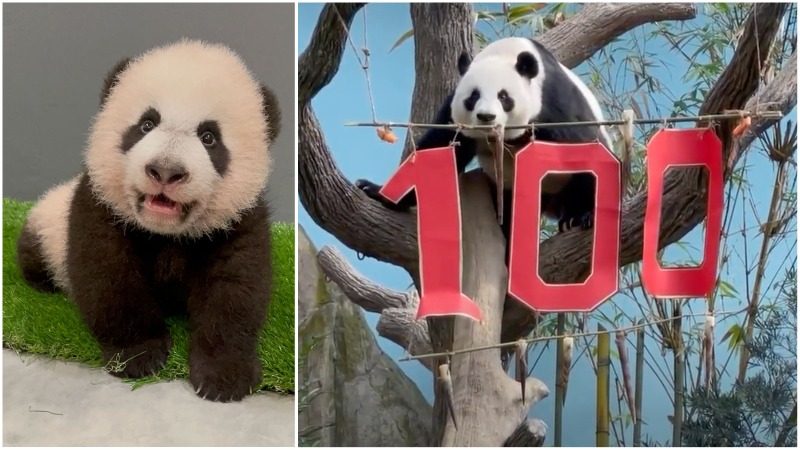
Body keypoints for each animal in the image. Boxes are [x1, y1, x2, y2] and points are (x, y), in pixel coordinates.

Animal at [13, 38, 284, 402]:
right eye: (146, 124)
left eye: (209, 137)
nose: (165, 171)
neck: (165, 232)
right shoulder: (98, 204)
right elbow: (108, 276)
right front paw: (139, 355)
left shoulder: (238, 221)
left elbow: (234, 288)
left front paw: (225, 376)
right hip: (46, 224)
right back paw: (43, 284)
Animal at [356, 35, 612, 246]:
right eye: (473, 96)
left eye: (504, 96)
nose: (486, 117)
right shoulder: (455, 115)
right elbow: (437, 151)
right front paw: (376, 190)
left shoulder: (553, 106)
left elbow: (587, 150)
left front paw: (585, 214)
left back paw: (572, 217)